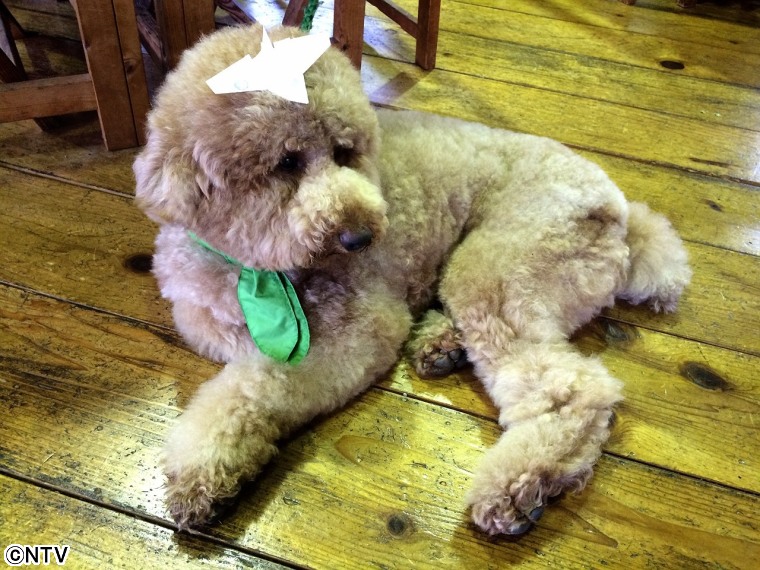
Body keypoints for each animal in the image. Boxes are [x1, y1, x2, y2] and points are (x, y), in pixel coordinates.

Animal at [133, 24, 691, 535]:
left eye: (344, 151)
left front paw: (200, 471)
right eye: (286, 162)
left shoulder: (358, 330)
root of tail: (621, 210)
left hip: (497, 268)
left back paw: (517, 485)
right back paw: (441, 344)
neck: (260, 274)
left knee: (571, 389)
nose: (360, 237)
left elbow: (252, 389)